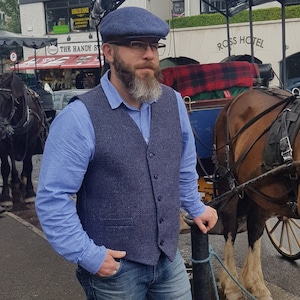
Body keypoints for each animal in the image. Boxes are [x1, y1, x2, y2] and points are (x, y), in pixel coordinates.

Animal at [0, 71, 47, 210]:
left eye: (7, 99)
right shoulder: (3, 143)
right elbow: (5, 167)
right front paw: (5, 197)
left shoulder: (31, 139)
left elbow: (28, 164)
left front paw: (30, 193)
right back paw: (15, 179)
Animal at [212, 86, 300, 300]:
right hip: (229, 185)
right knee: (230, 228)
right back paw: (232, 285)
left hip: (260, 193)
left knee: (255, 228)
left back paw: (255, 285)